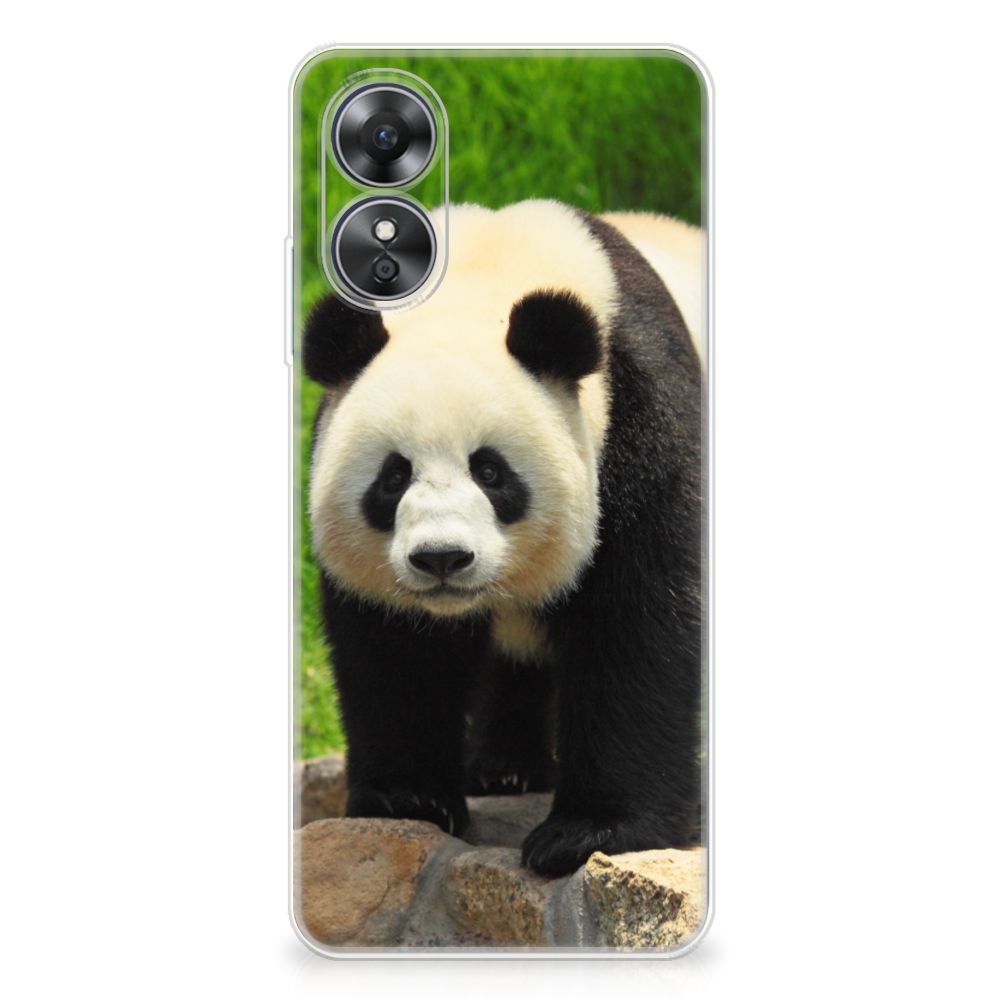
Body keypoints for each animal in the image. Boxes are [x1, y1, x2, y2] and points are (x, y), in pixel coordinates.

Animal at [304, 200, 704, 877]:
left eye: (490, 472)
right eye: (393, 476)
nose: (442, 558)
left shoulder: (642, 419)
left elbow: (638, 624)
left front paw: (589, 833)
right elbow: (395, 649)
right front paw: (408, 799)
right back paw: (505, 769)